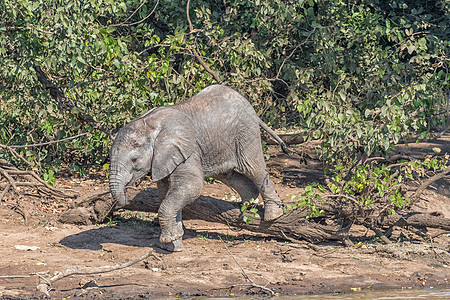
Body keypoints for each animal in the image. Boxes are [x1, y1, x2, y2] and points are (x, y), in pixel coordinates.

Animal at [110, 84, 288, 251]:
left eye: (134, 160)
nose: (126, 196)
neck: (149, 124)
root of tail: (248, 105)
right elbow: (165, 192)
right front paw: (173, 246)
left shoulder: (187, 151)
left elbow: (191, 186)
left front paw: (169, 241)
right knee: (226, 174)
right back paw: (247, 204)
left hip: (245, 131)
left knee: (252, 167)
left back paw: (273, 216)